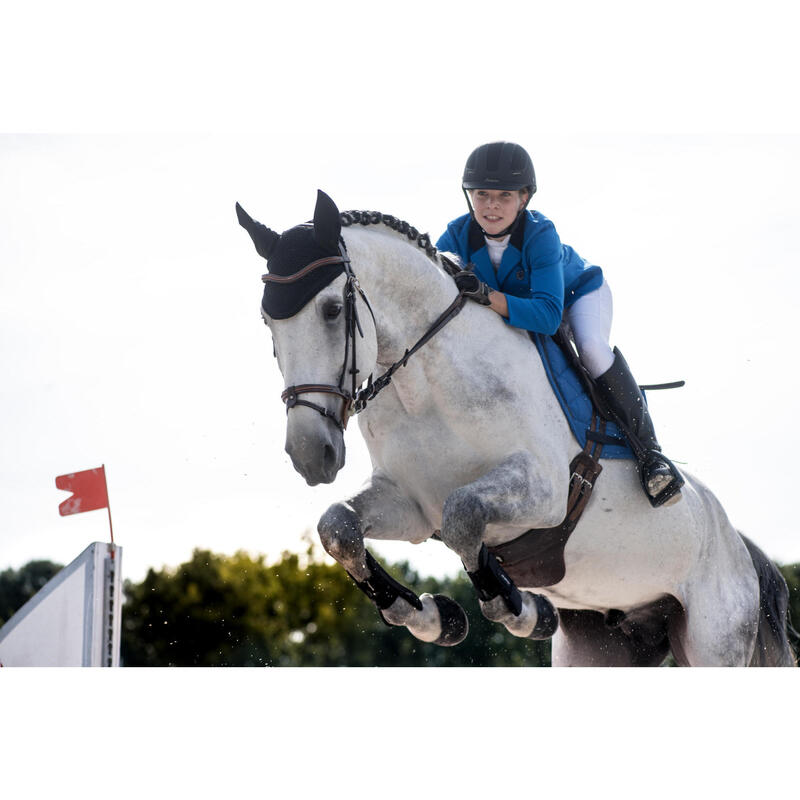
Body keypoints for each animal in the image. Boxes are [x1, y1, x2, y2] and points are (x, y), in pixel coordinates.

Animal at [238, 191, 792, 664]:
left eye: (333, 310)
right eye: (268, 324)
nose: (309, 454)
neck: (426, 387)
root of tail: (742, 547)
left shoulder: (544, 491)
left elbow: (463, 515)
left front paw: (522, 610)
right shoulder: (411, 507)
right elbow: (339, 528)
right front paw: (433, 618)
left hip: (716, 638)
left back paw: (658, 479)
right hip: (602, 644)